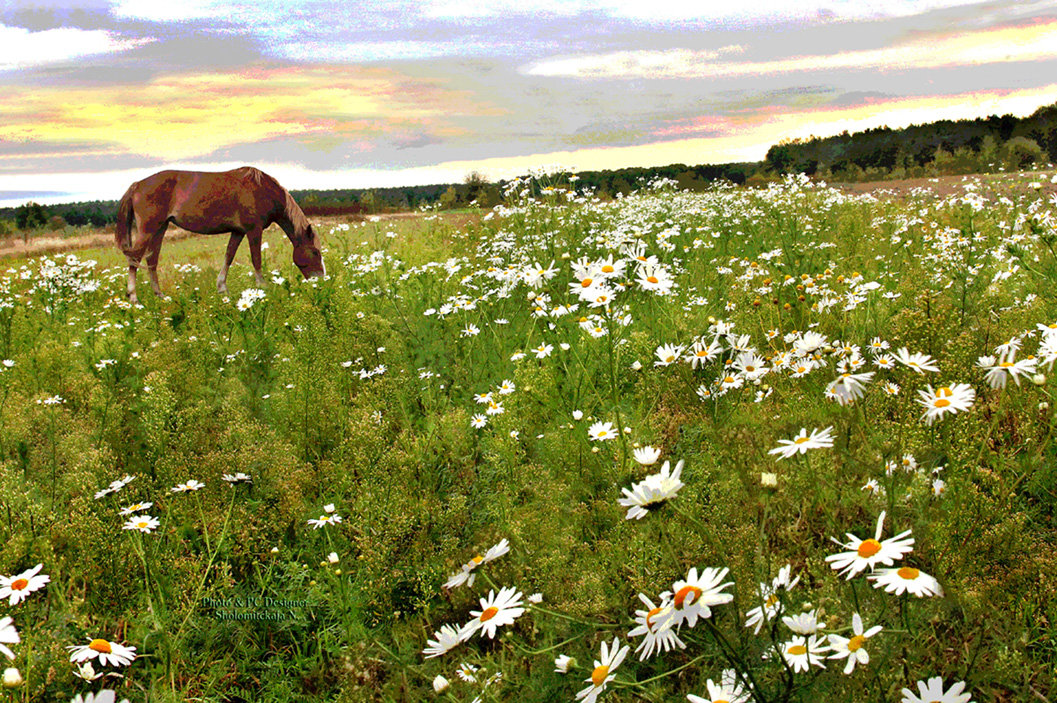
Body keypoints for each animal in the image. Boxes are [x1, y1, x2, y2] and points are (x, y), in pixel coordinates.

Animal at [113, 168, 323, 304]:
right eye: (315, 252)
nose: (321, 279)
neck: (261, 189)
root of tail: (137, 185)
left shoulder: (238, 231)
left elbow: (228, 256)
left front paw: (222, 288)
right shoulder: (253, 230)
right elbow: (256, 259)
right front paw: (262, 287)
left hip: (160, 228)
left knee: (151, 260)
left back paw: (160, 296)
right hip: (148, 229)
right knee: (135, 257)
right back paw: (133, 297)